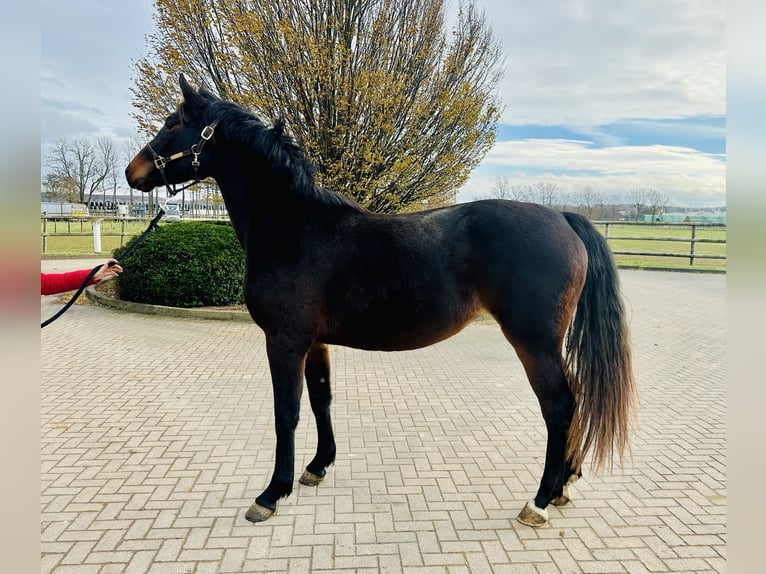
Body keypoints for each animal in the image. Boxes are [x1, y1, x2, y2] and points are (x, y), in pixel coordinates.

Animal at [129, 76, 640, 532]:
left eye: (173, 123)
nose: (135, 172)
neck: (294, 226)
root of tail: (563, 218)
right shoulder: (314, 342)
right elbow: (321, 399)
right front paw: (317, 467)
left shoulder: (284, 341)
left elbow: (286, 413)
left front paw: (272, 493)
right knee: (573, 403)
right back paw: (564, 485)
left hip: (533, 343)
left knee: (559, 407)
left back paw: (539, 501)